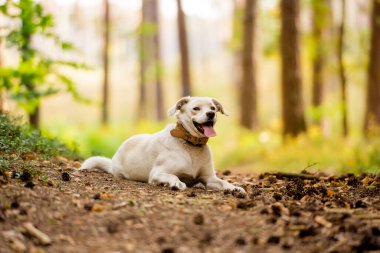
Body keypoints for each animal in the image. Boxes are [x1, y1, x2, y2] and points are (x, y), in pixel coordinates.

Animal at [80, 97, 246, 194]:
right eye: (196, 108)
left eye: (212, 108)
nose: (211, 114)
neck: (190, 145)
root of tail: (113, 160)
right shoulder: (156, 173)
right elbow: (172, 175)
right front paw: (175, 183)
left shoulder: (209, 178)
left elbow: (223, 181)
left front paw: (234, 188)